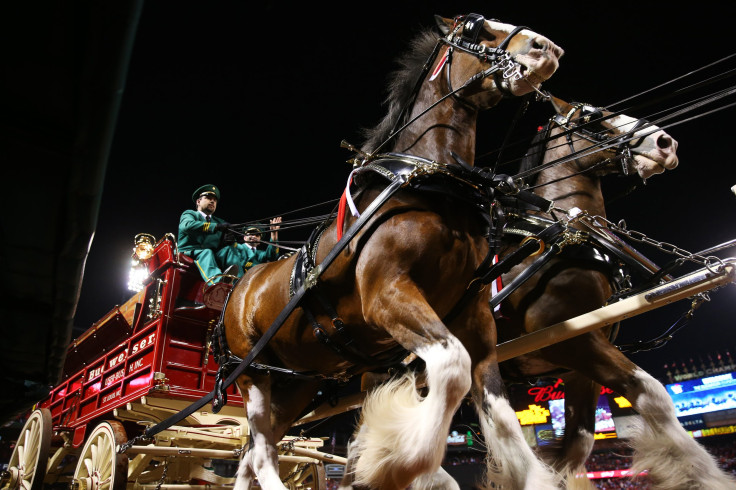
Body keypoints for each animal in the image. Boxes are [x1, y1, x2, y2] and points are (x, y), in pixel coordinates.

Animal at [221, 13, 560, 488]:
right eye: (476, 27)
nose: (547, 48)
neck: (431, 186)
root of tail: (240, 286)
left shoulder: (473, 317)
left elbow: (503, 418)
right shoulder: (387, 295)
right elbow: (451, 368)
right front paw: (402, 462)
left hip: (298, 381)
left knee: (253, 448)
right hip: (251, 375)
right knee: (263, 448)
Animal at [498, 94, 736, 486]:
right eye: (593, 116)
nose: (665, 143)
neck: (568, 238)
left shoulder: (579, 366)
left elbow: (576, 447)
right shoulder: (572, 341)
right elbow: (654, 397)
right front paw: (704, 476)